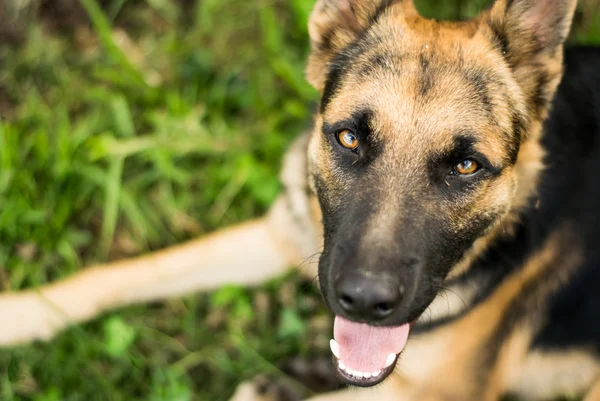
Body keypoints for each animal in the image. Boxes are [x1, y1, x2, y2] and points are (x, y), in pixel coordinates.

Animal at [1, 0, 600, 400]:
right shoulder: (284, 234)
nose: (363, 302)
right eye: (350, 138)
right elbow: (125, 273)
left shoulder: (445, 393)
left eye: (467, 166)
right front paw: (20, 312)